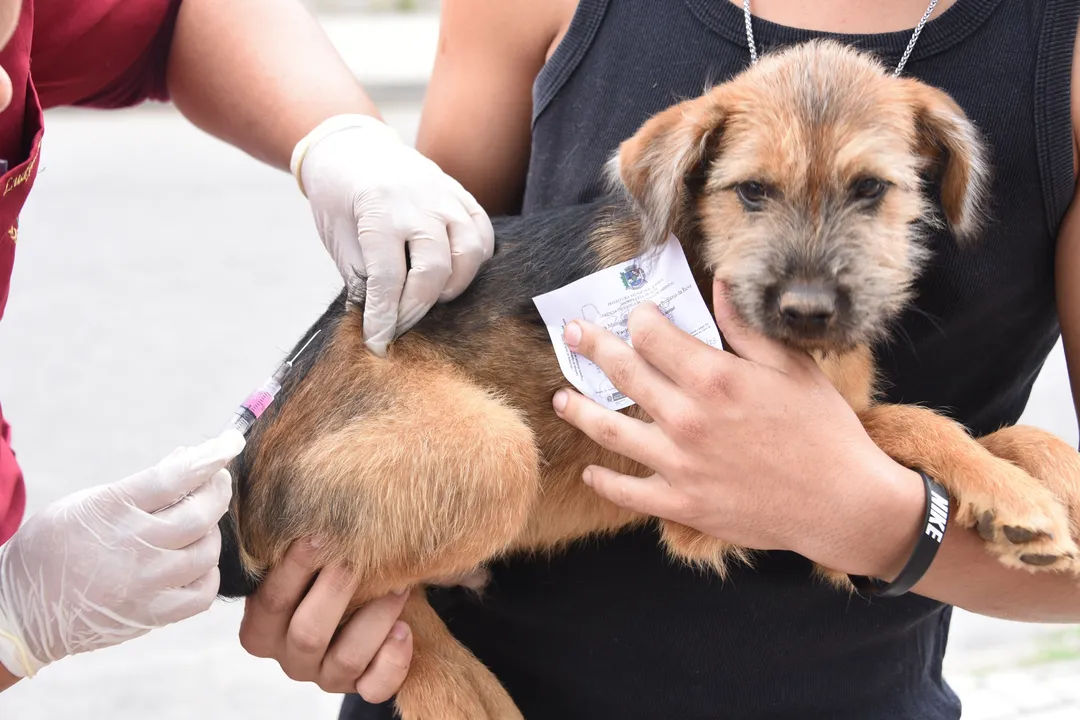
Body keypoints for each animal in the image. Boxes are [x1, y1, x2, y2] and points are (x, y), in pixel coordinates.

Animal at [217, 39, 1080, 720]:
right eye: (752, 191)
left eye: (872, 189)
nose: (806, 311)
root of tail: (245, 468)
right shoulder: (716, 505)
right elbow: (915, 421)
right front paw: (1017, 497)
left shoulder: (847, 535)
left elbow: (997, 428)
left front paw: (1051, 479)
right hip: (490, 449)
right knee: (376, 596)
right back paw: (462, 693)